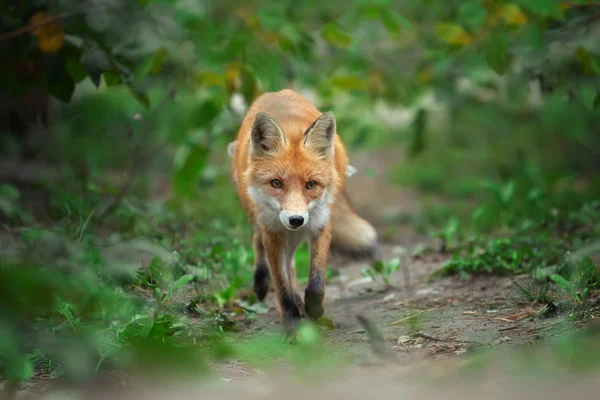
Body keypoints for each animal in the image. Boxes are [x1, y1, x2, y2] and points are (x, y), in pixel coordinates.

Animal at [229, 89, 376, 336]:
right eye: (276, 183)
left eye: (311, 185)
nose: (295, 219)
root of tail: (276, 92)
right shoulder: (273, 231)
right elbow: (281, 285)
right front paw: (291, 320)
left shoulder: (320, 225)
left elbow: (316, 282)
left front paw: (313, 310)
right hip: (261, 219)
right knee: (259, 243)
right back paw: (261, 282)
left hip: (297, 232)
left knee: (290, 263)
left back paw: (299, 300)